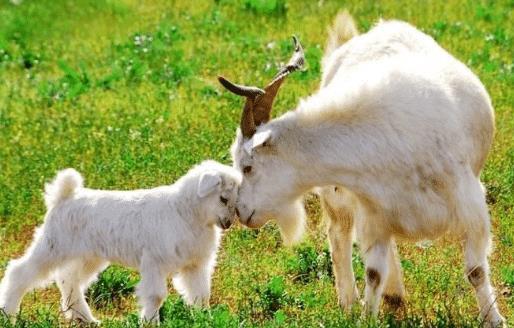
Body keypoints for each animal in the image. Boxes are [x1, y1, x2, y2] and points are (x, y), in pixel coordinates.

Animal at [0, 160, 240, 324]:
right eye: (223, 198)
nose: (228, 223)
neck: (185, 211)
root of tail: (65, 196)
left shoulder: (195, 265)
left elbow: (201, 295)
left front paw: (204, 319)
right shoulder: (154, 262)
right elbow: (156, 296)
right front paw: (150, 322)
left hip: (88, 257)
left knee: (69, 280)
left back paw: (86, 319)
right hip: (53, 247)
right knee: (19, 273)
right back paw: (9, 314)